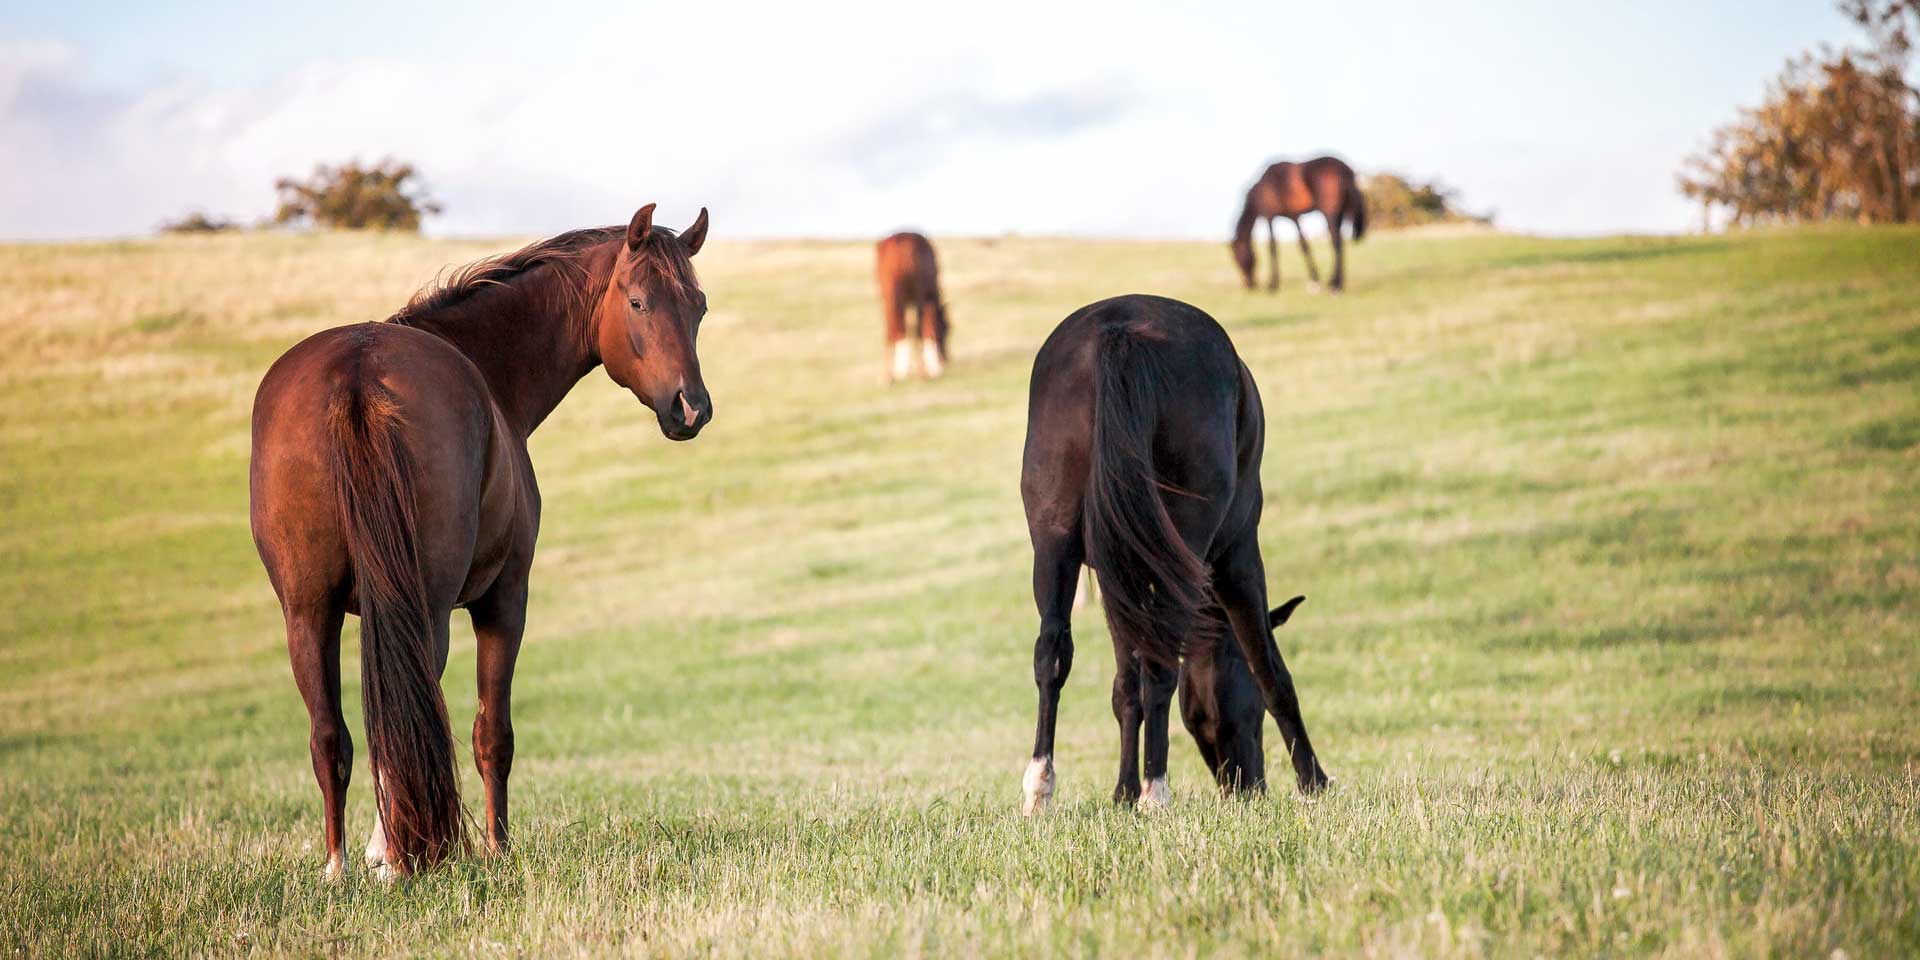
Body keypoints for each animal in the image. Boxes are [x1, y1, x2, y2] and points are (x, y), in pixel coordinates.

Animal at [247, 204, 714, 879]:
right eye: (638, 302)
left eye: (698, 306)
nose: (691, 407)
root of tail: (357, 373)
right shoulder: (505, 599)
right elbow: (493, 735)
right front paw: (495, 847)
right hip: (426, 606)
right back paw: (398, 855)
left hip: (307, 612)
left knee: (331, 735)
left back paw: (341, 865)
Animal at [879, 230, 952, 380]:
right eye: (946, 329)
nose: (946, 361)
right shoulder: (927, 297)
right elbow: (924, 327)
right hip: (916, 295)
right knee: (918, 327)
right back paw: (920, 372)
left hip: (891, 295)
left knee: (894, 327)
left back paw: (891, 375)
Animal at [1013, 295, 1328, 814]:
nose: (1247, 786)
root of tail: (1119, 331)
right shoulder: (1238, 557)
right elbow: (1269, 668)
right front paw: (1314, 781)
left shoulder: (1118, 577)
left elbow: (1125, 686)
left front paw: (1121, 793)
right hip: (1194, 546)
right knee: (1163, 665)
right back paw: (1155, 791)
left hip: (1053, 542)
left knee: (1052, 653)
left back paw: (1041, 789)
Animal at [1228, 155, 1367, 291]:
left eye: (1236, 257)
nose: (1250, 285)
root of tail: (1345, 170)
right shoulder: (1294, 217)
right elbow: (1304, 245)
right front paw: (1315, 281)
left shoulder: (1269, 216)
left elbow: (1272, 247)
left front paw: (1273, 285)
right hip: (1340, 214)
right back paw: (1336, 282)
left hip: (1330, 214)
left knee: (1336, 242)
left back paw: (1335, 285)